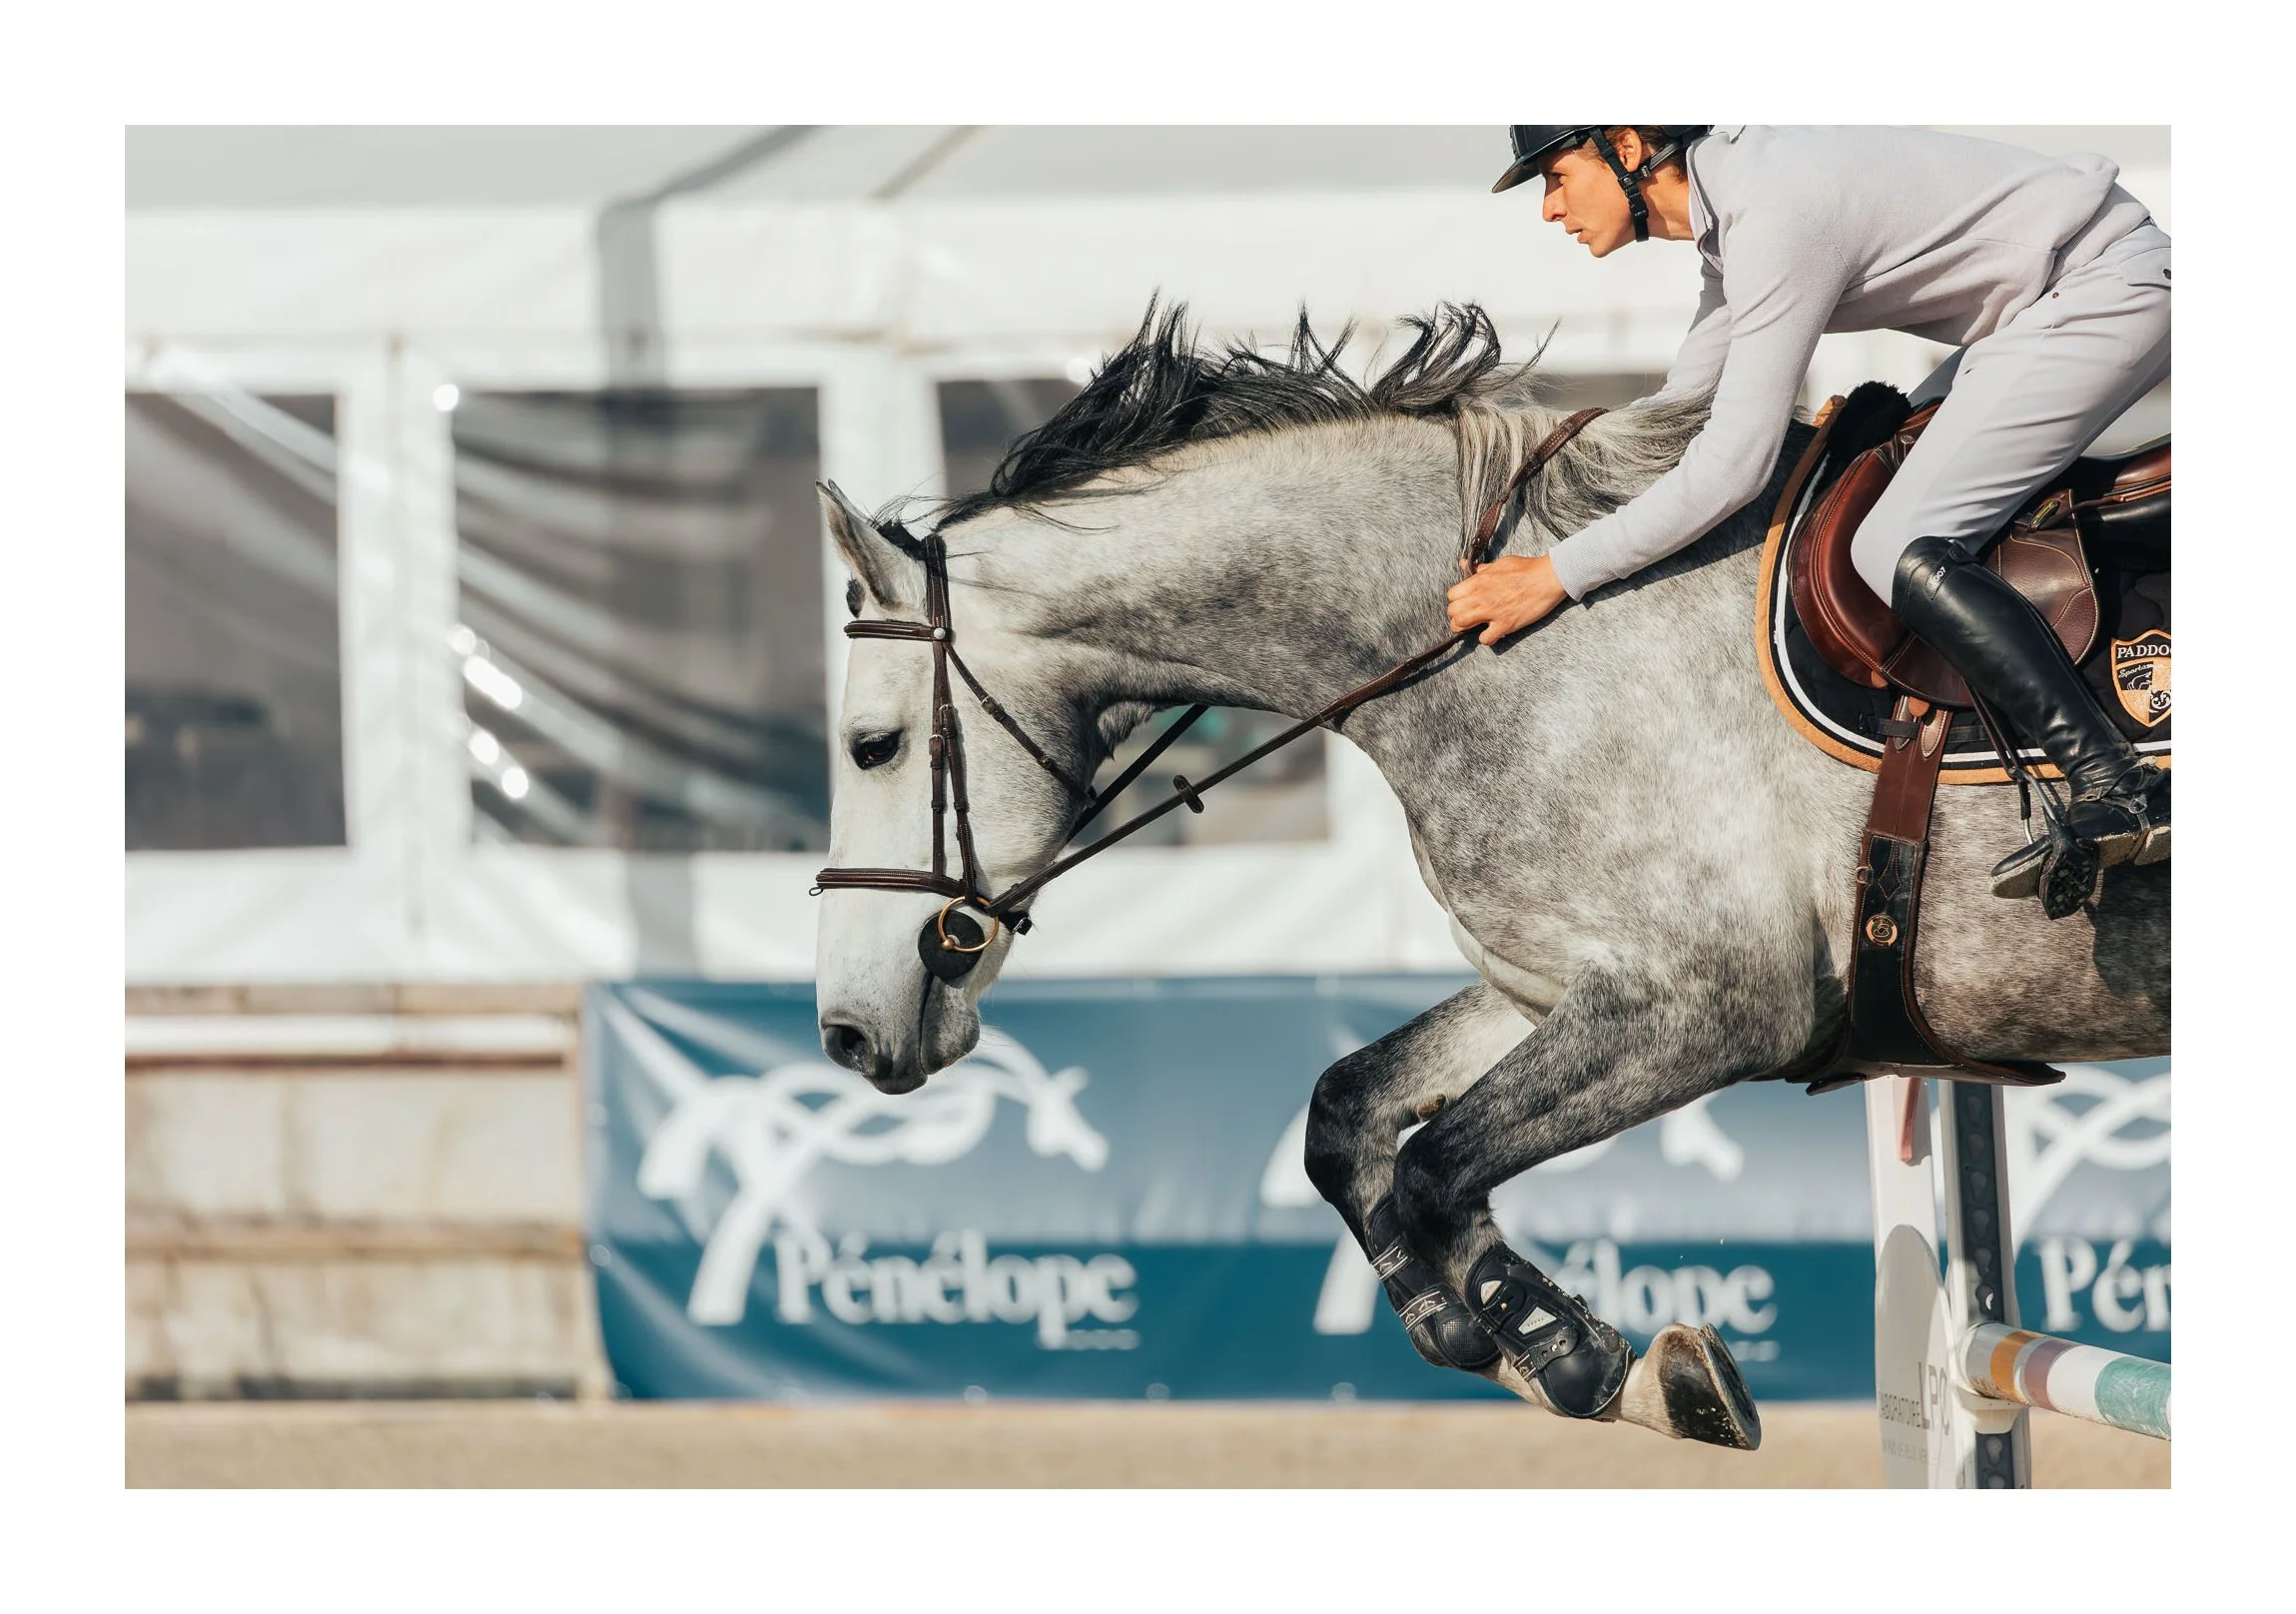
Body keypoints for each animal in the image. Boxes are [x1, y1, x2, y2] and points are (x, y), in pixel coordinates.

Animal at [808, 301, 2169, 1447]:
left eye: (870, 745)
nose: (847, 1030)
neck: (1497, 641)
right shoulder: (1556, 981)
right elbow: (1348, 1115)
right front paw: (1491, 1331)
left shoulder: (1712, 1003)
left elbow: (1431, 1162)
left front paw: (1577, 1354)